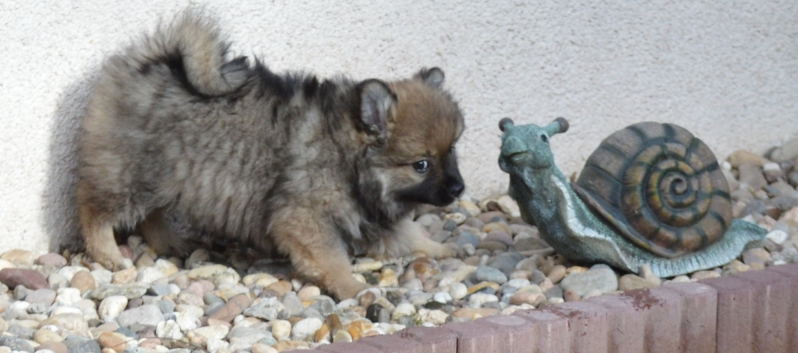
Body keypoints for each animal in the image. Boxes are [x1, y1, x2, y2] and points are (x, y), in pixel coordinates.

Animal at [78, 11, 466, 296]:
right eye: (421, 165)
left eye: (452, 149)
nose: (459, 189)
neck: (346, 156)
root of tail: (151, 60)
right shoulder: (305, 220)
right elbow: (333, 261)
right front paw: (353, 288)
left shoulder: (373, 216)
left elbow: (410, 237)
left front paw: (443, 249)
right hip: (129, 175)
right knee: (95, 211)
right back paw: (108, 255)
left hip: (168, 174)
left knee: (150, 216)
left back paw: (170, 241)